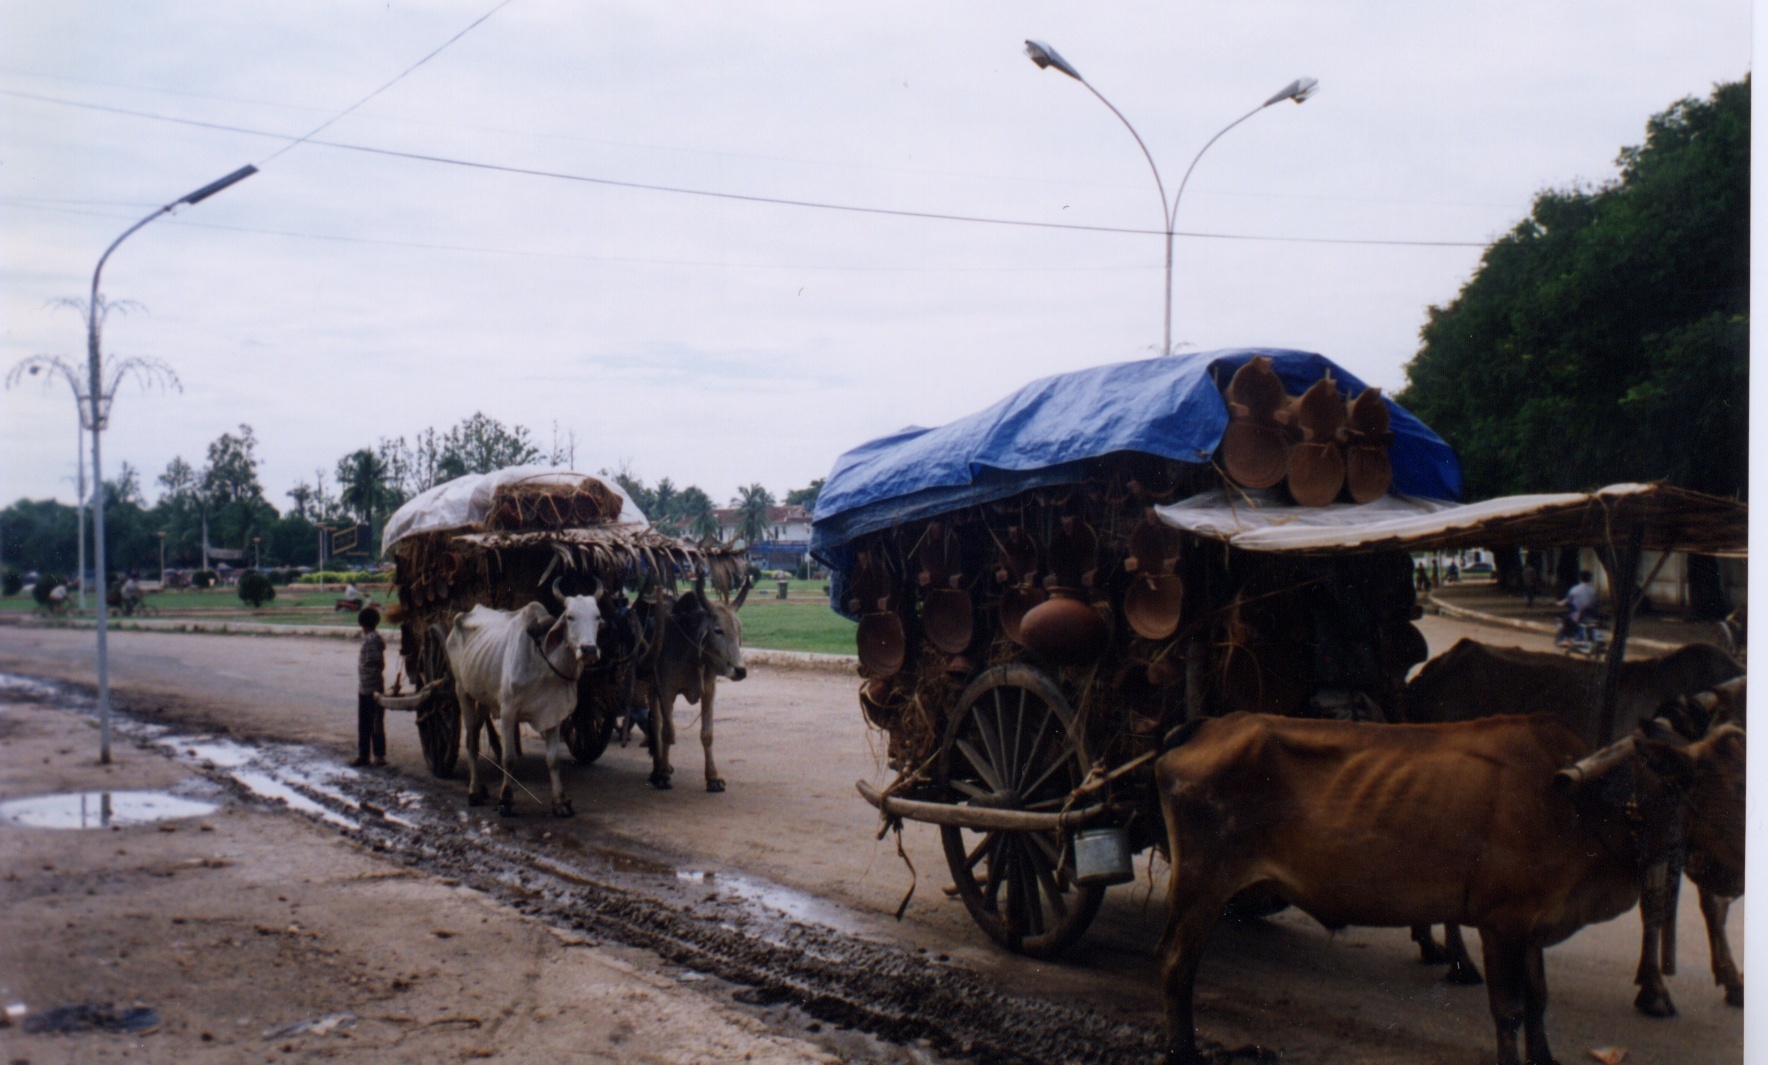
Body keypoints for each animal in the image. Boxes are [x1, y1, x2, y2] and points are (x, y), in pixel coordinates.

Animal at [445, 580, 604, 813]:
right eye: (569, 616)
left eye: (597, 616)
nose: (589, 650)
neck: (544, 664)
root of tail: (462, 616)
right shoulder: (508, 711)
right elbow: (509, 758)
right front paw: (505, 799)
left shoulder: (554, 713)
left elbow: (553, 759)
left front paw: (560, 802)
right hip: (462, 690)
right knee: (471, 742)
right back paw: (474, 792)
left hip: (483, 699)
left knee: (474, 733)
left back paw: (481, 788)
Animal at [647, 580, 749, 789]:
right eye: (718, 630)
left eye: (738, 630)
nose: (740, 670)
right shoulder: (666, 691)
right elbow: (667, 732)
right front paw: (663, 774)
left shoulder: (709, 690)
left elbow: (707, 734)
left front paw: (713, 778)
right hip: (653, 690)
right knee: (656, 724)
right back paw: (657, 769)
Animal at [1152, 707, 1732, 1061]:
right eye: (1712, 784)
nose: (1730, 875)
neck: (1579, 806)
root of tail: (1205, 727)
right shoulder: (1502, 923)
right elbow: (1510, 1009)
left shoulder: (1534, 926)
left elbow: (1540, 1001)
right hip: (1202, 883)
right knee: (1177, 965)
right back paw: (1184, 1049)